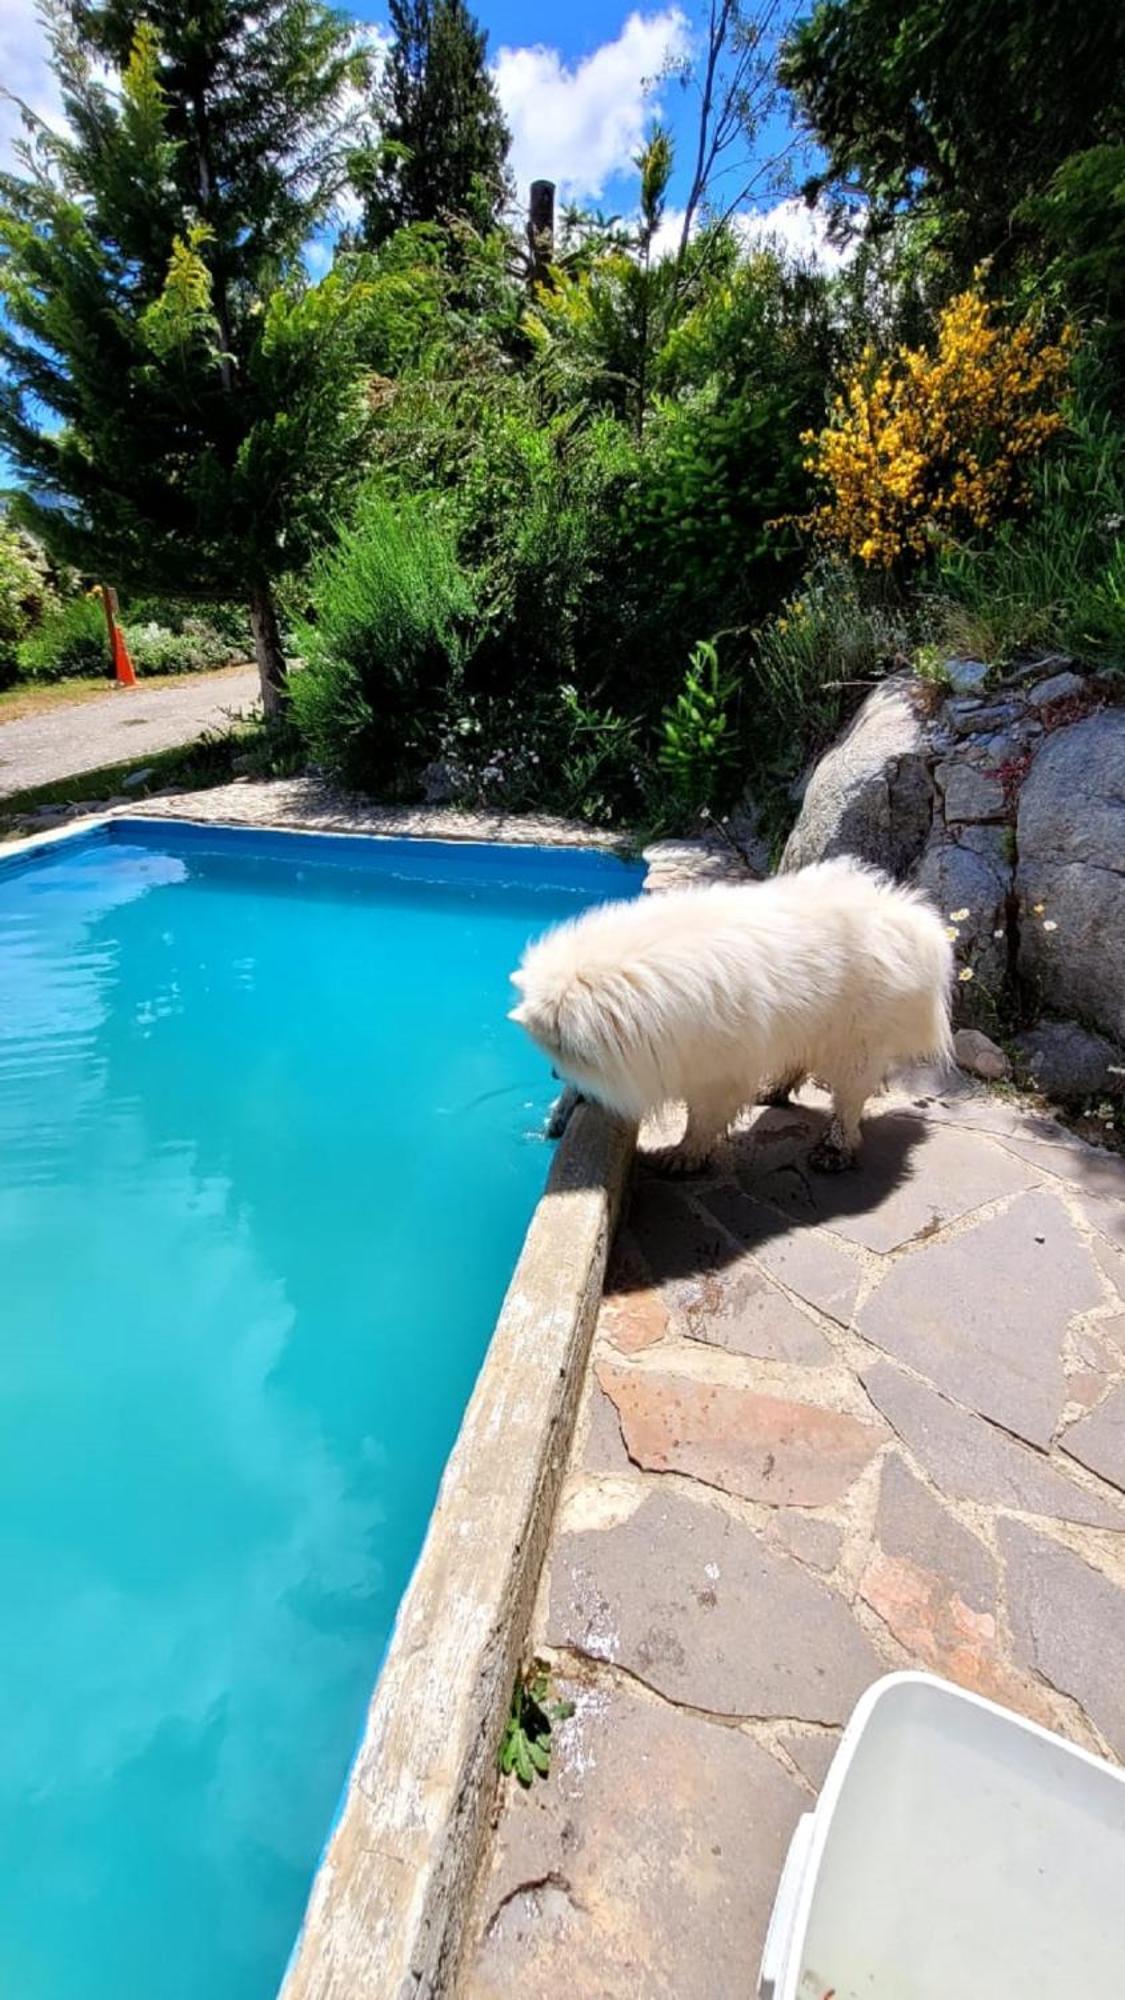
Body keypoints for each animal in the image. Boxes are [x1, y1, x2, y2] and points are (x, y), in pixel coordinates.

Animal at [508, 860, 944, 1168]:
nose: (553, 1073)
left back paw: (835, 1149)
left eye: (556, 1056)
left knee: (850, 1099)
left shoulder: (716, 1066)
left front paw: (684, 1155)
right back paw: (773, 1090)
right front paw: (559, 1115)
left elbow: (703, 1117)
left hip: (855, 1042)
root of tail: (911, 917)